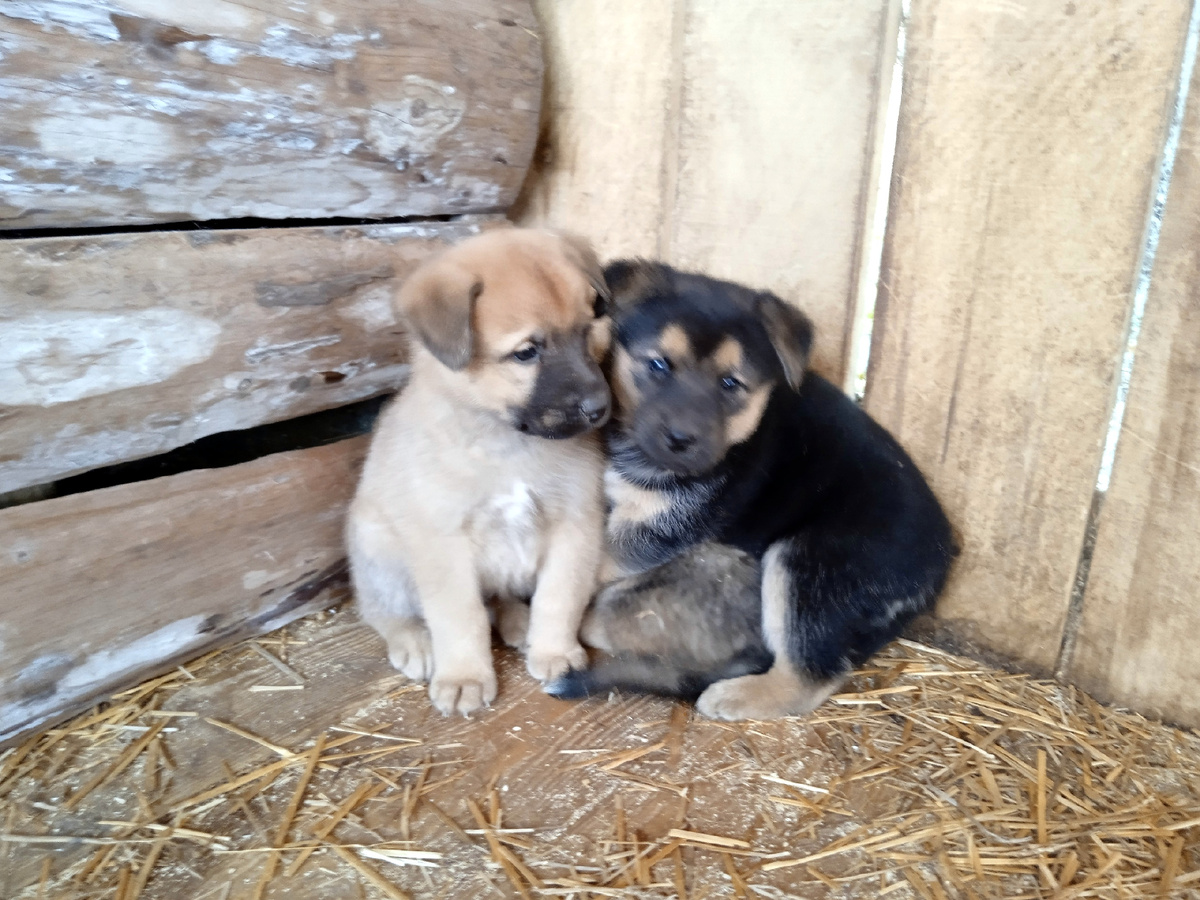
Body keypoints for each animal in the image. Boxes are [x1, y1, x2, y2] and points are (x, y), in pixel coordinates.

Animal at [345, 230, 609, 720]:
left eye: (585, 333)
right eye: (527, 352)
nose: (601, 408)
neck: (507, 443)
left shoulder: (576, 523)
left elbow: (559, 598)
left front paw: (554, 650)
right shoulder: (443, 543)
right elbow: (459, 617)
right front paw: (464, 676)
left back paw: (519, 623)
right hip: (378, 550)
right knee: (382, 612)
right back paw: (415, 643)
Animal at [549, 260, 950, 720]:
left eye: (730, 384)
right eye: (659, 365)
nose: (682, 439)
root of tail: (940, 559)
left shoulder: (659, 530)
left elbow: (599, 560)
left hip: (809, 564)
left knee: (809, 676)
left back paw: (736, 695)